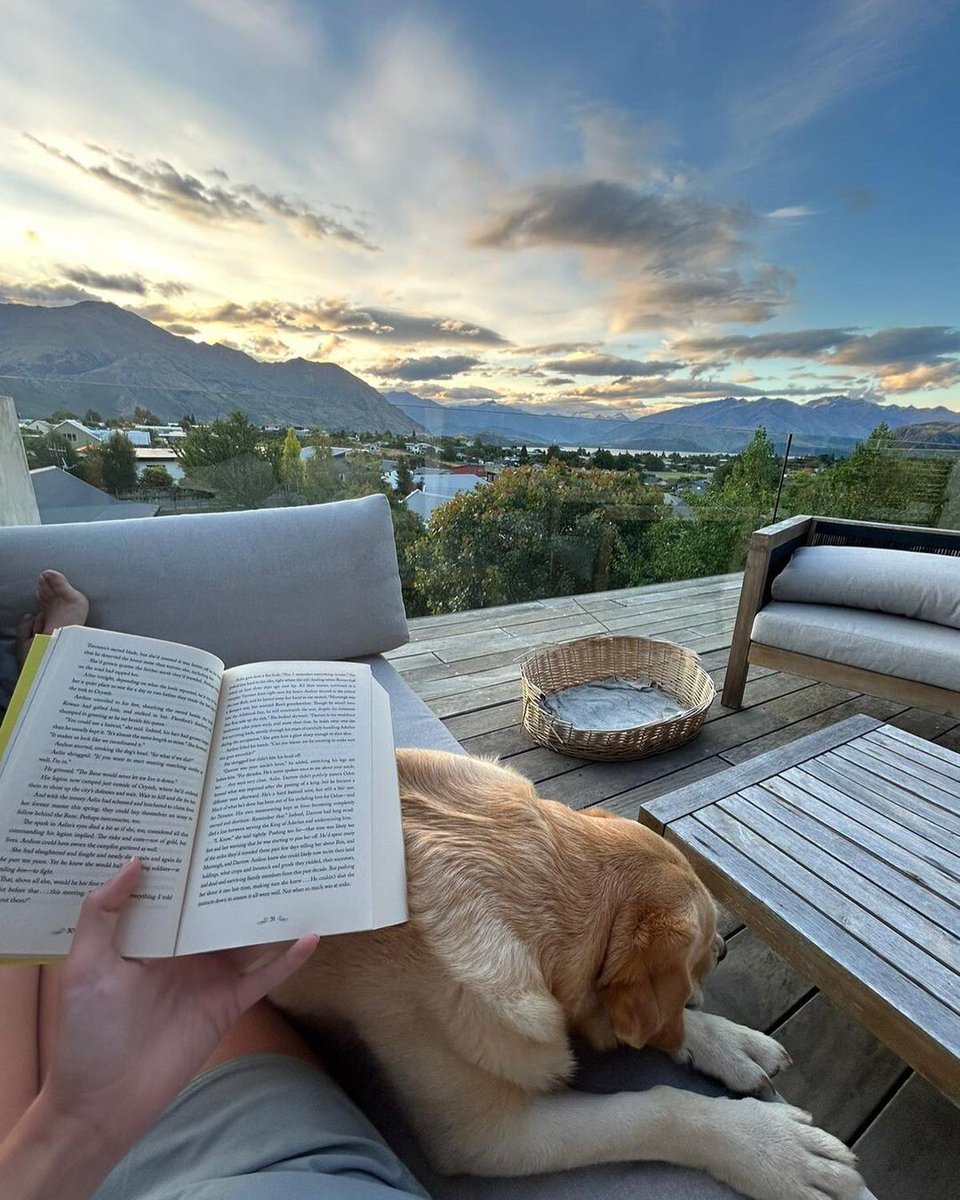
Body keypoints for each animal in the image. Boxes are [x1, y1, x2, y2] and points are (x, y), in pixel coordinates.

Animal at [270, 748, 864, 1200]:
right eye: (702, 947)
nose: (723, 948)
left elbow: (653, 1020)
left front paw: (724, 1042)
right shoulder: (489, 1135)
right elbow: (656, 1109)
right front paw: (771, 1150)